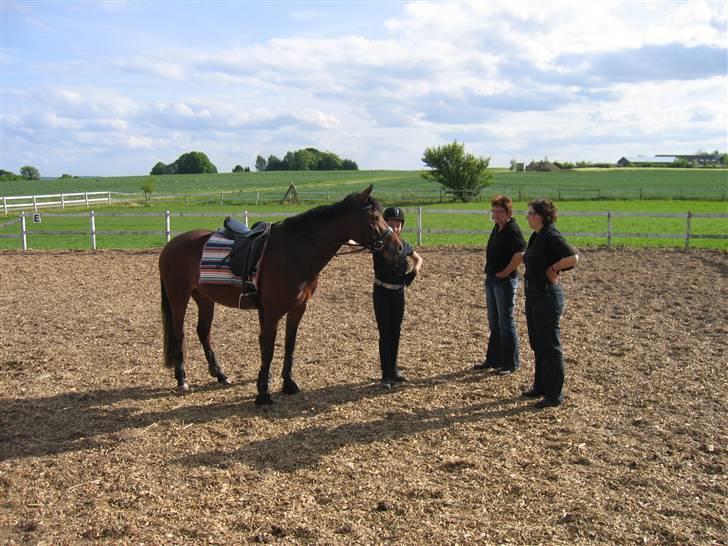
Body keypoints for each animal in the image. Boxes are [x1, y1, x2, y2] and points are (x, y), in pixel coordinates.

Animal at [157, 185, 404, 402]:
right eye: (373, 218)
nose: (398, 248)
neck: (294, 251)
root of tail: (171, 245)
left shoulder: (297, 309)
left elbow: (289, 345)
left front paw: (288, 384)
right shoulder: (272, 311)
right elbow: (268, 348)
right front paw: (263, 393)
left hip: (205, 298)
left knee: (203, 332)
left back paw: (220, 374)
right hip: (179, 298)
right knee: (180, 334)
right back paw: (182, 379)